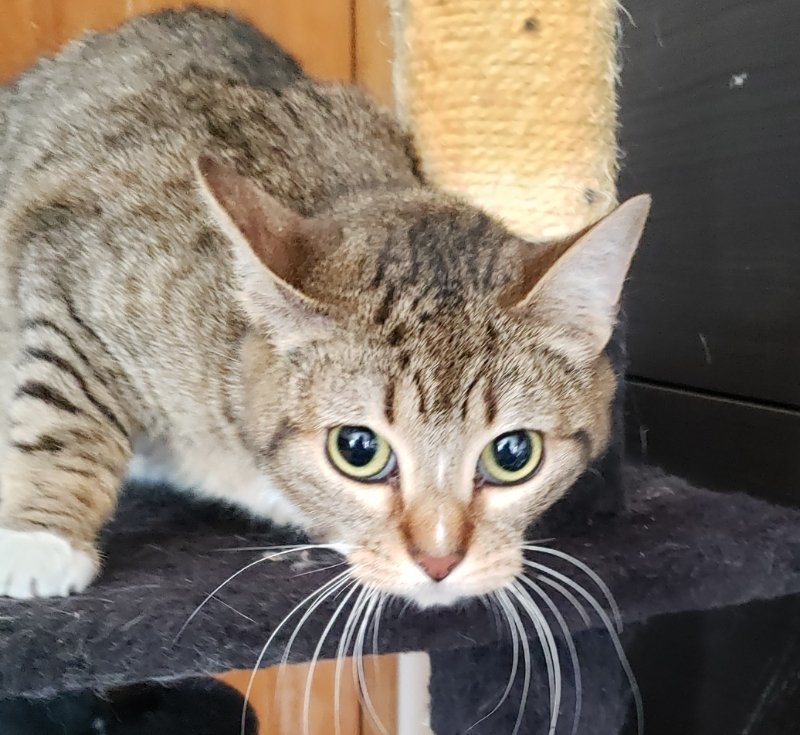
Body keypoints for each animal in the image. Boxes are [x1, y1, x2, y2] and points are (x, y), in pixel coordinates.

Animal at [0, 5, 648, 608]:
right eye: (358, 449)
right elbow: (64, 410)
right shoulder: (70, 267)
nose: (439, 561)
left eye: (514, 454)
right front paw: (42, 538)